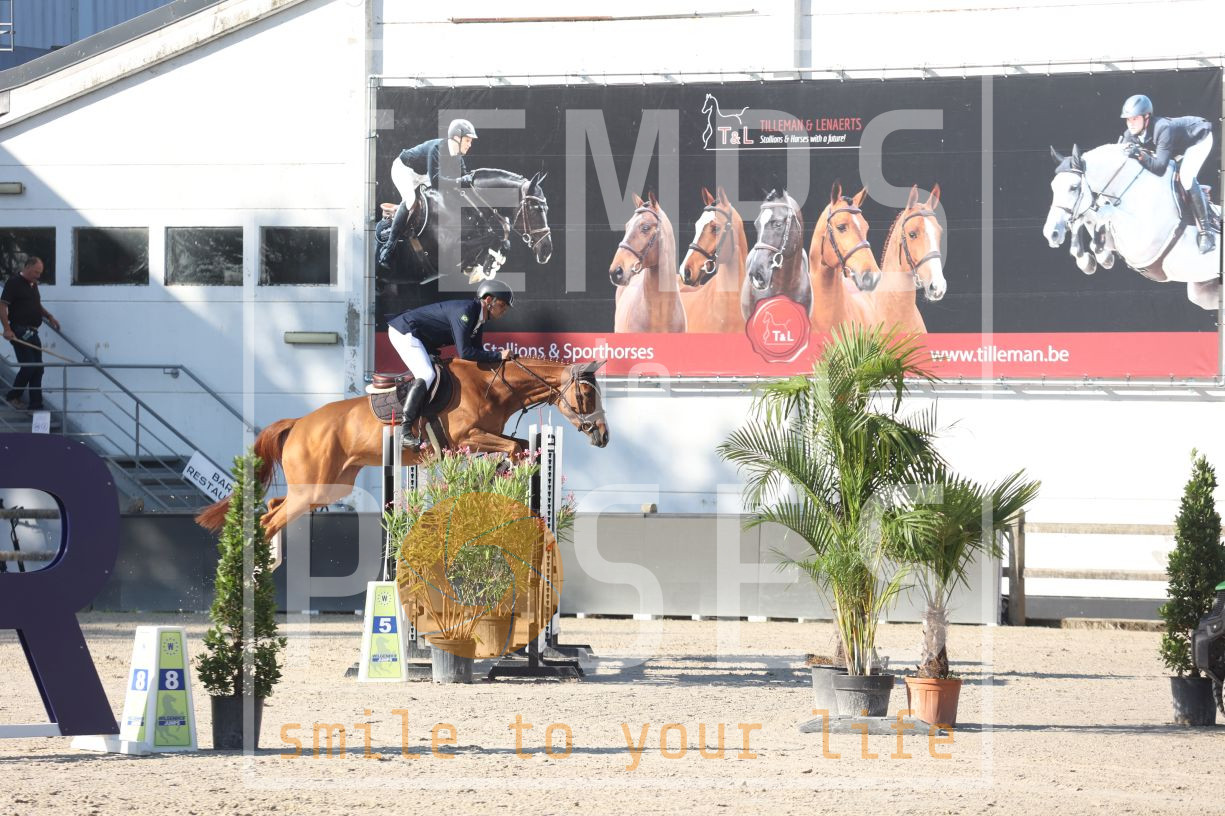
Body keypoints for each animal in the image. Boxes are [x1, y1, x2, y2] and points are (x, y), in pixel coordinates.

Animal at [195, 357, 609, 543]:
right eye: (586, 395)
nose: (603, 436)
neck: (494, 385)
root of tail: (298, 423)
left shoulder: (484, 437)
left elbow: (520, 446)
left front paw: (500, 475)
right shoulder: (467, 437)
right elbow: (511, 445)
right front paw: (498, 474)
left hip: (328, 487)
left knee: (272, 506)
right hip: (313, 487)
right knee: (269, 519)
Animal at [1044, 143, 1221, 310]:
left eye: (1073, 187)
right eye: (1052, 186)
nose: (1051, 233)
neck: (1130, 188)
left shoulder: (1142, 242)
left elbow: (1105, 212)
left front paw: (1101, 257)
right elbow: (1087, 217)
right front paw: (1087, 260)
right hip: (1203, 293)